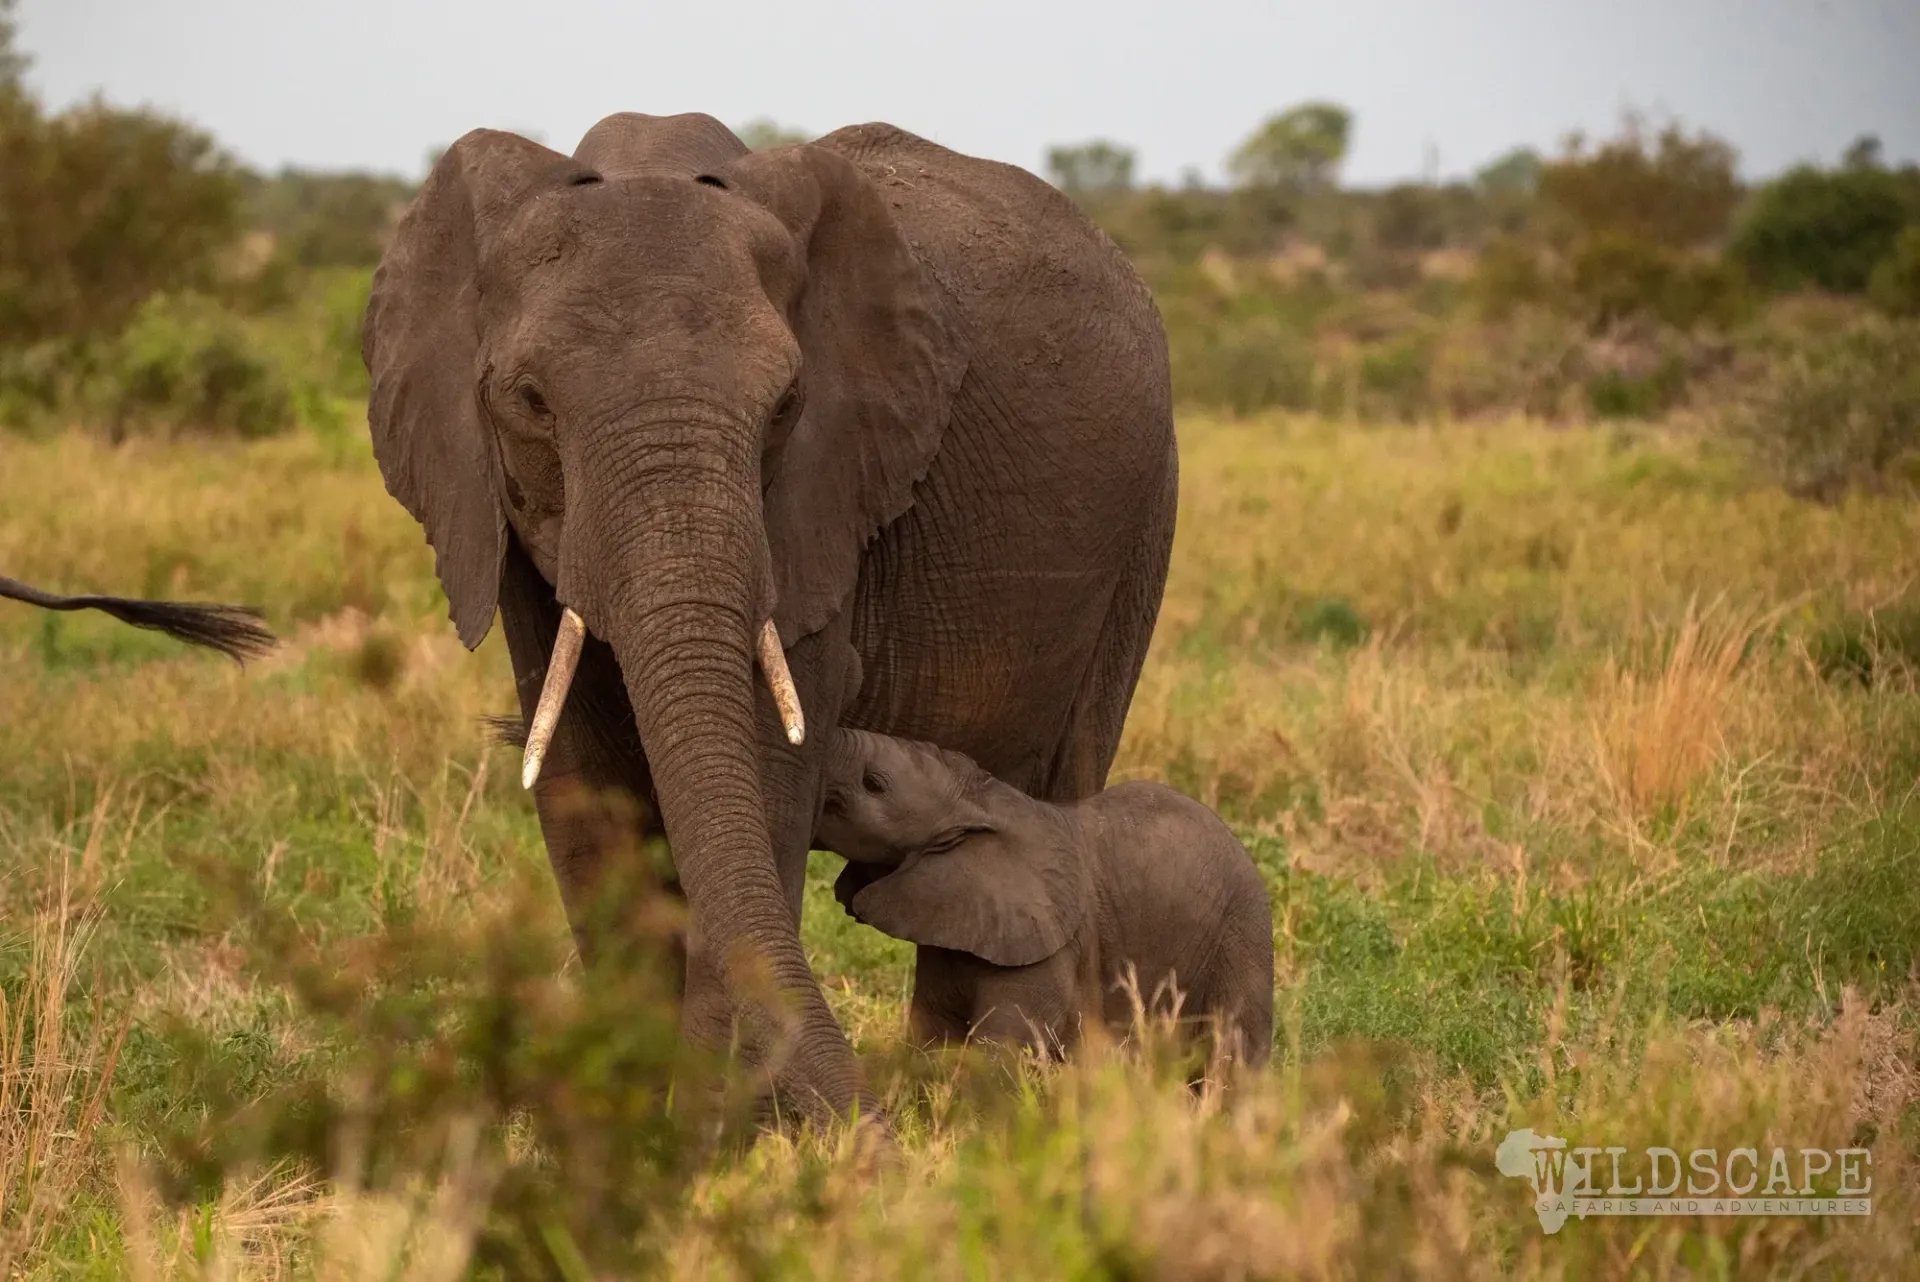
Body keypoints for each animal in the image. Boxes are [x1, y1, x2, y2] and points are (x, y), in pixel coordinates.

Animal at [361, 111, 1176, 1127]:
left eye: (786, 404)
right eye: (531, 403)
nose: (874, 1131)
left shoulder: (828, 492)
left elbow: (773, 747)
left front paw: (722, 1130)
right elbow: (579, 763)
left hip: (1145, 522)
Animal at [816, 727, 1273, 1067]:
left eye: (873, 783)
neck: (984, 801)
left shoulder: (1051, 947)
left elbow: (1006, 1041)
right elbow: (934, 1028)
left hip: (1241, 932)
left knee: (1232, 1049)